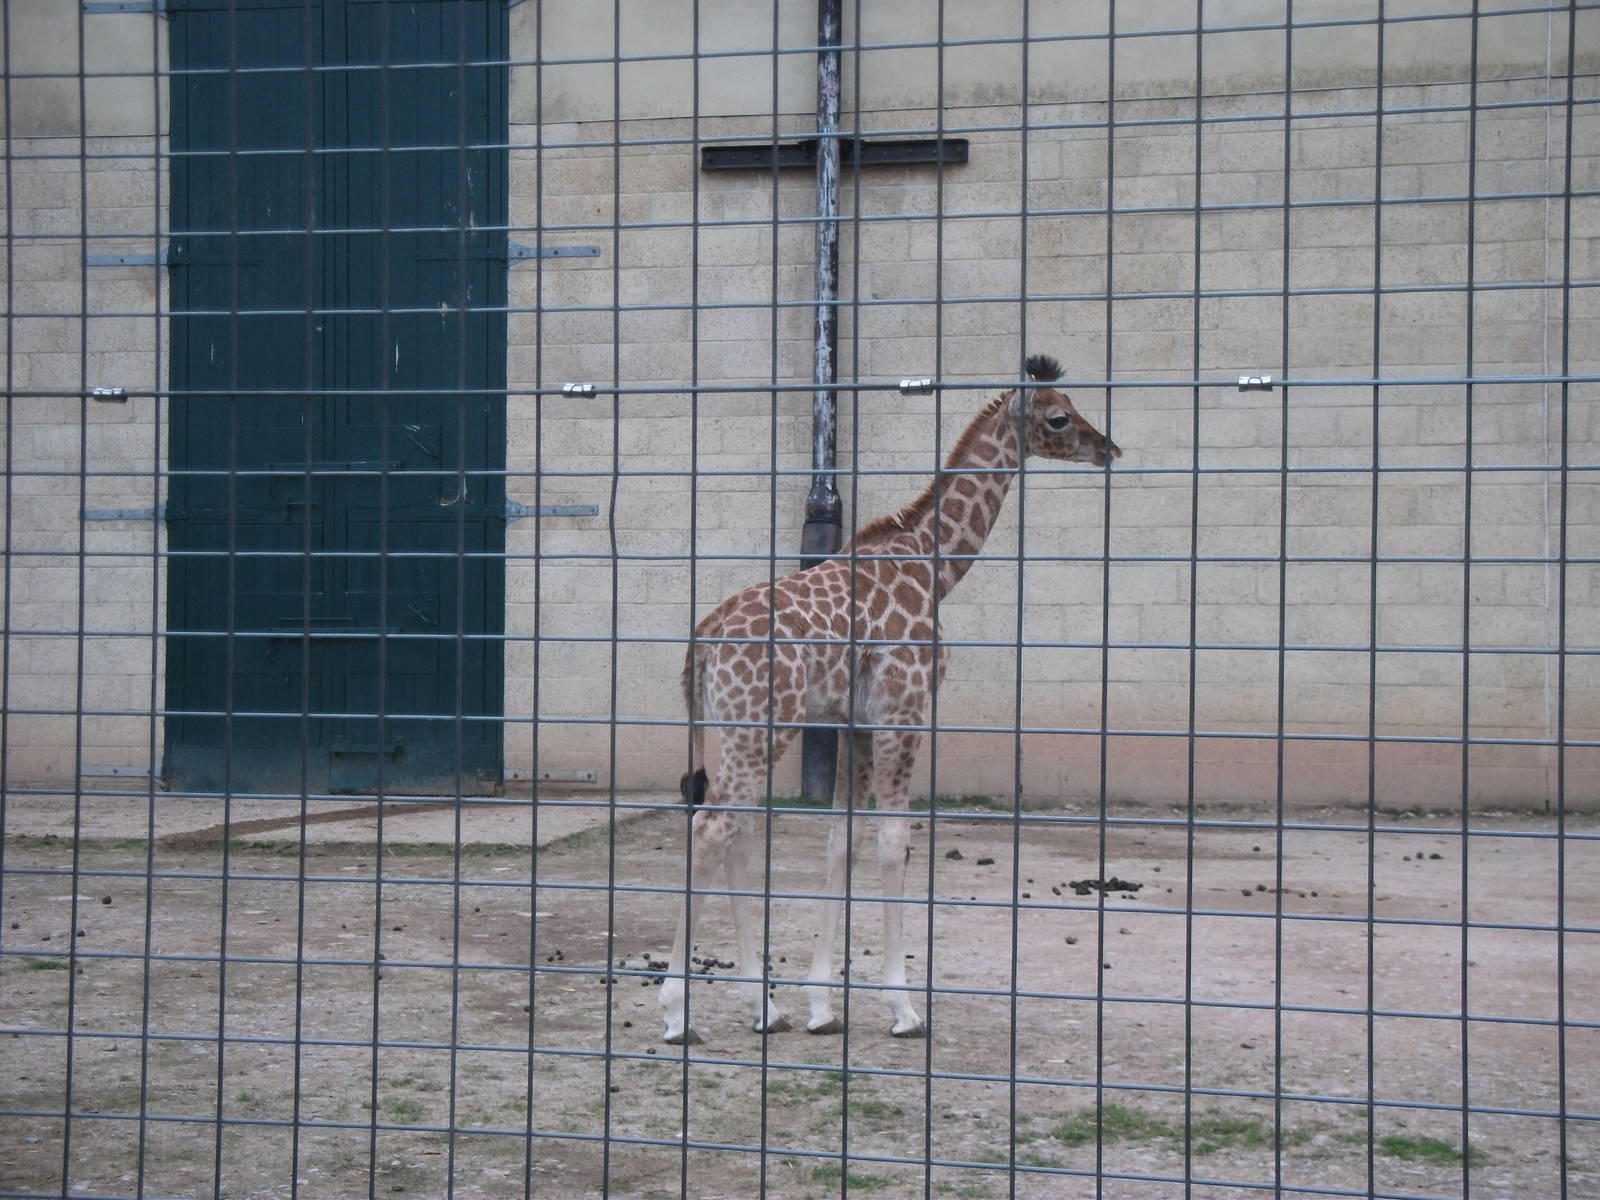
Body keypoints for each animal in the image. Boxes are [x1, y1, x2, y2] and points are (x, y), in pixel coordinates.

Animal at [660, 354, 1120, 1044]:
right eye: (1060, 416)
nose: (1108, 449)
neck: (934, 569)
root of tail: (702, 641)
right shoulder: (904, 711)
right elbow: (893, 839)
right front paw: (904, 1009)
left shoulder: (853, 723)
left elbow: (841, 841)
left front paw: (822, 1005)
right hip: (763, 727)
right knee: (713, 829)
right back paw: (676, 1012)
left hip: (737, 728)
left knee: (732, 829)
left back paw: (765, 1007)